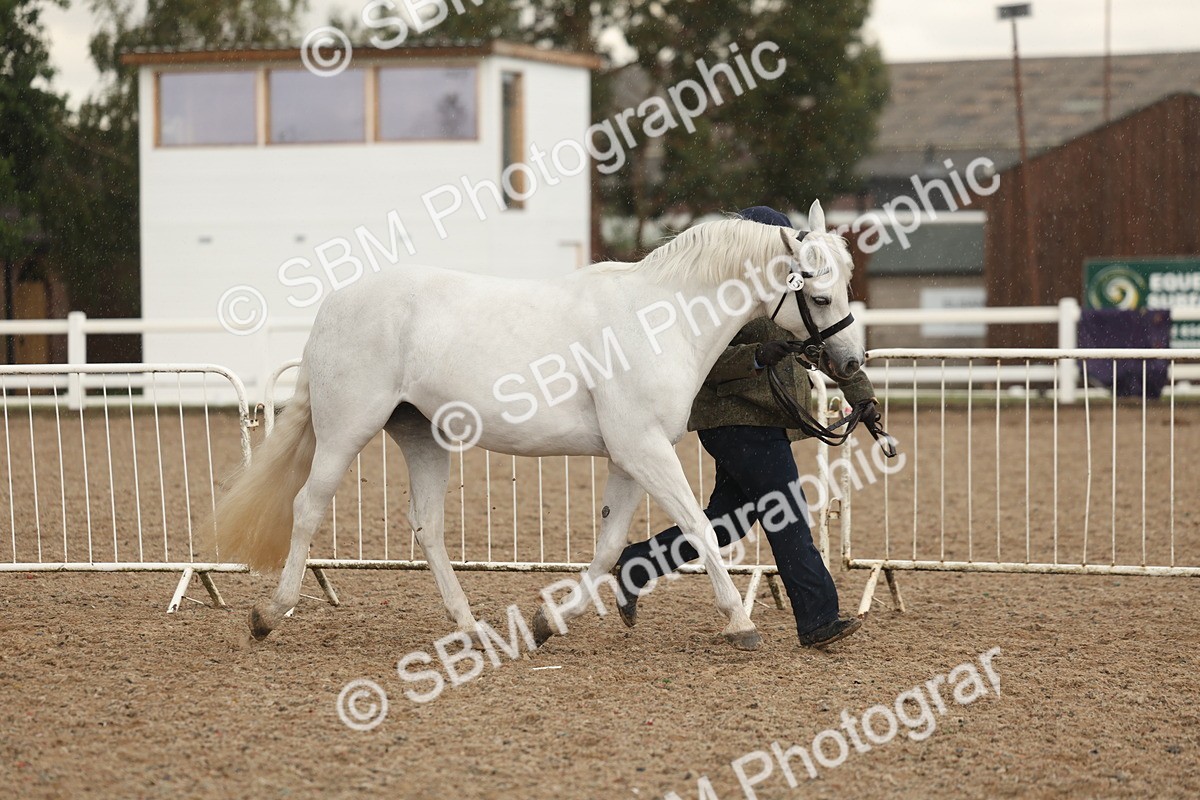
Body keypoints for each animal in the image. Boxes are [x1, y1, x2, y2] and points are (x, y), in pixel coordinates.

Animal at [212, 200, 864, 651]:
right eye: (820, 296)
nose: (852, 363)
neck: (661, 319)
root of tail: (333, 306)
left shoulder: (629, 456)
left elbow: (608, 546)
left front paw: (548, 622)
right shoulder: (645, 450)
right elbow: (699, 529)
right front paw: (741, 623)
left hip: (421, 435)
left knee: (427, 527)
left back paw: (472, 628)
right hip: (346, 430)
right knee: (308, 507)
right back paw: (268, 615)